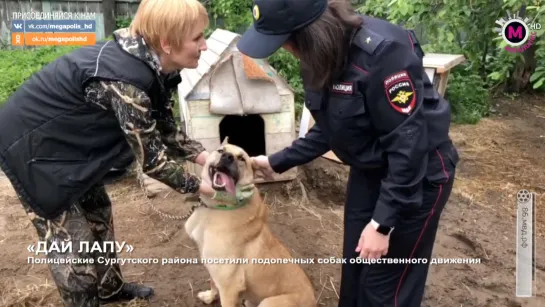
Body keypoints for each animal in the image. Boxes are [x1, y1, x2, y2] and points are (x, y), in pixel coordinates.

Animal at [0, 0, 211, 307]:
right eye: (196, 37)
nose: (204, 47)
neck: (146, 55)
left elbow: (170, 133)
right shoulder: (130, 94)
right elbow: (152, 157)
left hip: (87, 191)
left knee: (101, 222)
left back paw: (119, 290)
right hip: (47, 203)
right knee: (75, 263)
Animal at [185, 139, 316, 307]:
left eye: (242, 158)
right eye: (221, 151)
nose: (228, 157)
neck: (220, 207)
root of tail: (313, 301)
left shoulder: (230, 286)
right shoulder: (214, 270)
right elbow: (212, 282)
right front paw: (209, 296)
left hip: (268, 302)